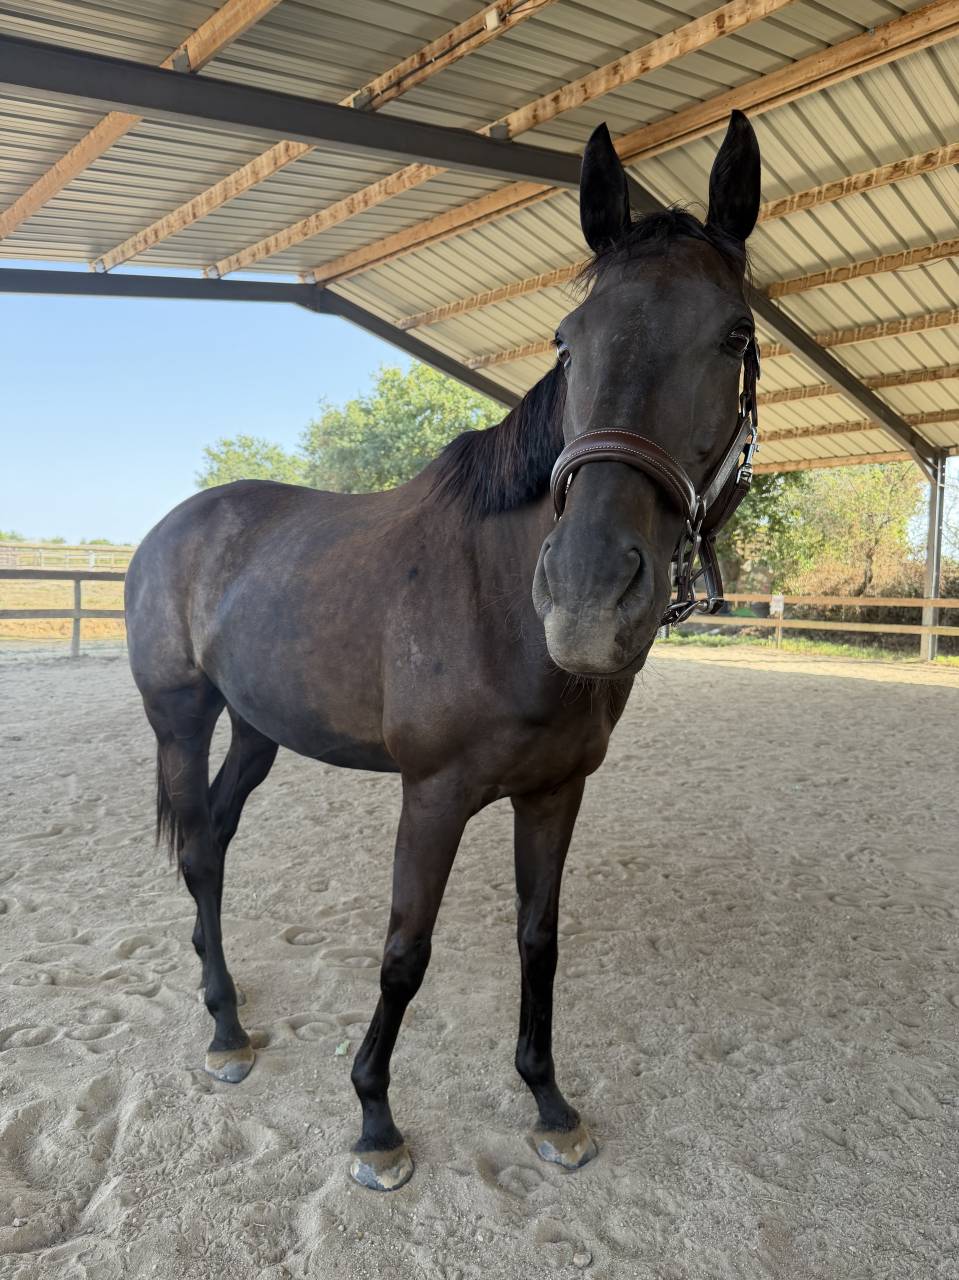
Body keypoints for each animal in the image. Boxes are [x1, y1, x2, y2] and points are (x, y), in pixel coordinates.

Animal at [125, 110, 762, 1192]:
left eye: (734, 335)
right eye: (567, 339)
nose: (587, 595)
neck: (495, 604)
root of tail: (176, 524)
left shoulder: (553, 792)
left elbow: (538, 939)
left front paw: (549, 1105)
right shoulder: (432, 795)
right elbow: (403, 951)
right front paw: (374, 1121)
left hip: (255, 728)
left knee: (215, 835)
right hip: (181, 716)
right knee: (201, 848)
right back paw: (223, 1031)